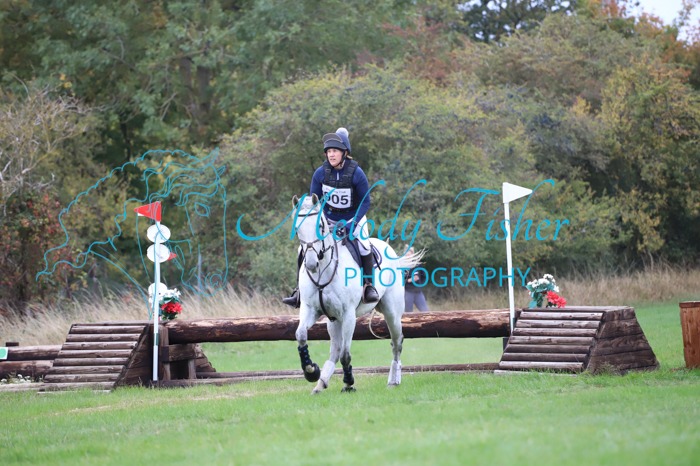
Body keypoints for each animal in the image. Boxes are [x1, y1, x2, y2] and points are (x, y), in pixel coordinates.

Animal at [292, 193, 424, 394]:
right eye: (298, 228)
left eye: (320, 226)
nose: (312, 264)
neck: (323, 271)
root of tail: (389, 250)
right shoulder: (311, 309)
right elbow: (300, 335)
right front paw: (310, 370)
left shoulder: (348, 314)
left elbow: (346, 354)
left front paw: (348, 382)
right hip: (333, 319)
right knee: (335, 350)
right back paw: (320, 384)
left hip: (391, 312)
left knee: (397, 342)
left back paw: (394, 380)